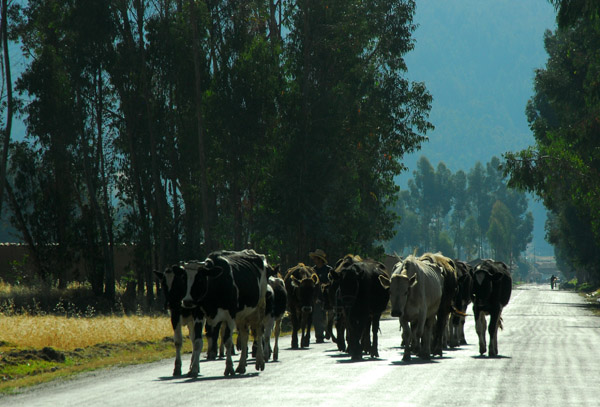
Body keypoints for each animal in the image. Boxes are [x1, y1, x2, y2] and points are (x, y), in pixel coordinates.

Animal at [180, 250, 270, 378]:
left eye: (200, 279)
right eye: (184, 279)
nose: (187, 301)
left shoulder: (230, 316)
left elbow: (228, 341)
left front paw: (229, 368)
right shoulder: (199, 315)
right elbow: (197, 342)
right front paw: (194, 370)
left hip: (259, 308)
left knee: (258, 331)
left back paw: (259, 361)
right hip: (241, 316)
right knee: (245, 335)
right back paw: (241, 366)